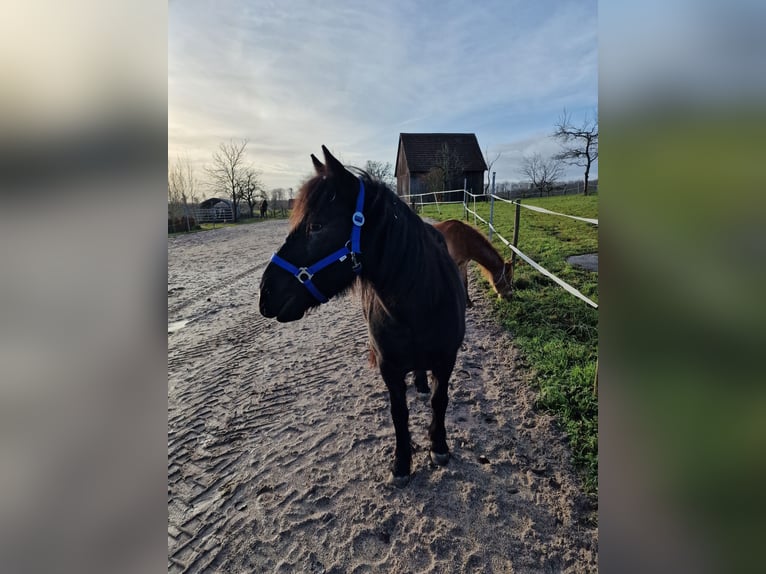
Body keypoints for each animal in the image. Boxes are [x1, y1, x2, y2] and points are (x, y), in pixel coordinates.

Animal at [258, 146, 466, 487]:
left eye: (317, 226)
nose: (265, 293)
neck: (419, 304)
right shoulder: (389, 367)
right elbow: (399, 413)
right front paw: (402, 462)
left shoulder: (447, 359)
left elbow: (440, 401)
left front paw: (438, 446)